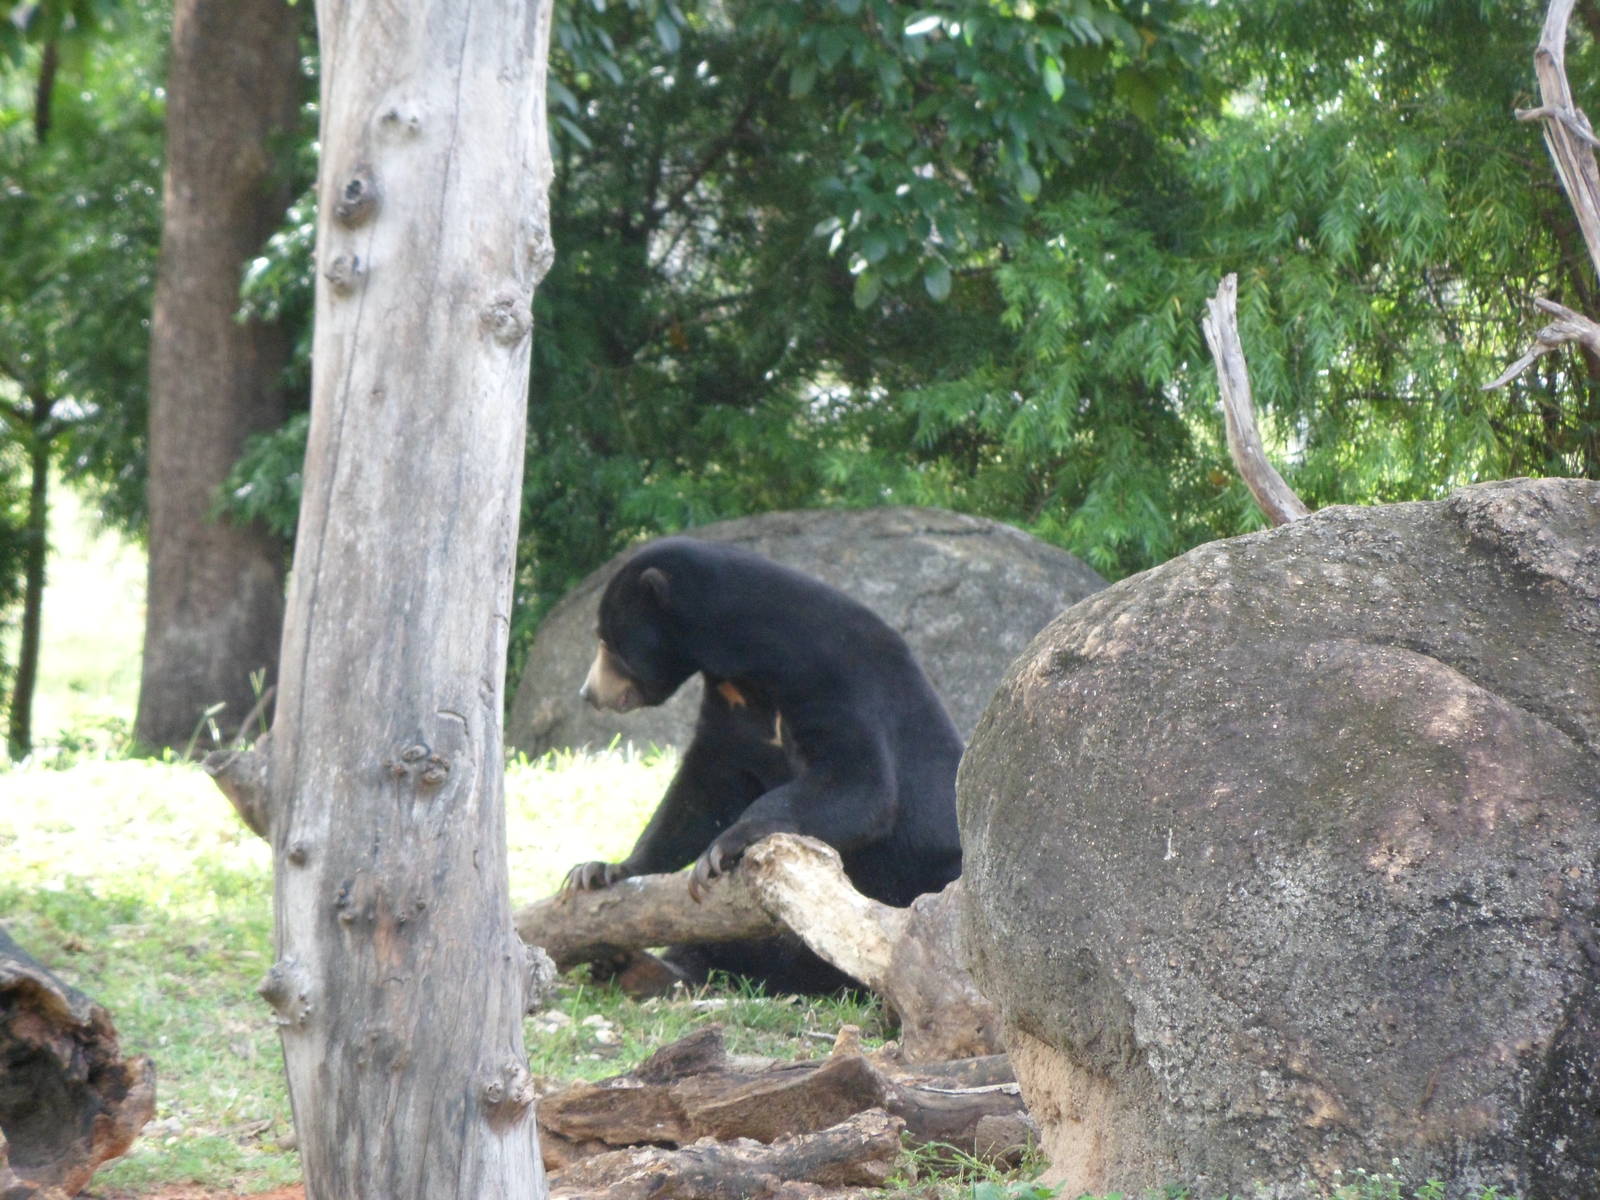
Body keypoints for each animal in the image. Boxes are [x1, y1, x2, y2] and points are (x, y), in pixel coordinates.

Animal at [562, 535, 965, 994]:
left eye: (606, 642)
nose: (589, 693)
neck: (750, 661)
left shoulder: (838, 682)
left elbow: (859, 784)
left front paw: (725, 846)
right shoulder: (732, 711)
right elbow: (703, 791)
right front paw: (601, 870)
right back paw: (636, 967)